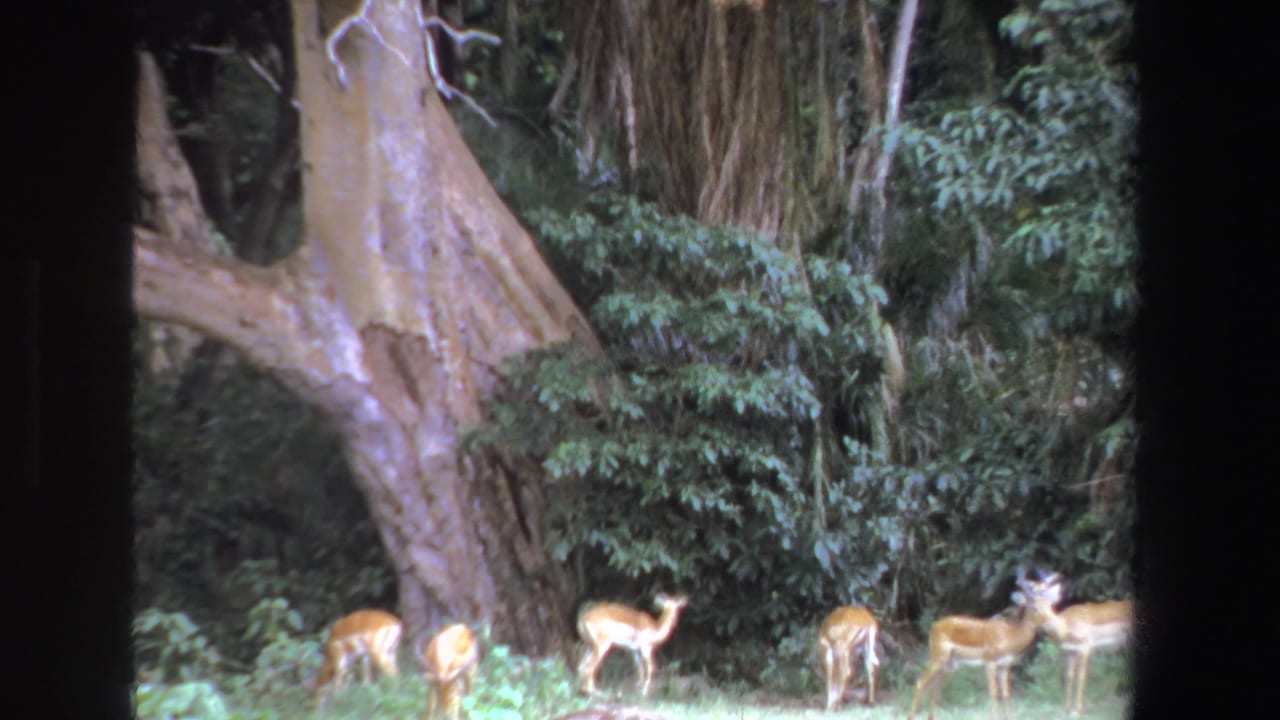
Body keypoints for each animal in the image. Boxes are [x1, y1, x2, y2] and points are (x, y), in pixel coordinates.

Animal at [907, 573, 1051, 720]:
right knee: (920, 683)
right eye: (1035, 607)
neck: (1009, 635)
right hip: (938, 659)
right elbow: (994, 694)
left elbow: (1006, 694)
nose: (1049, 621)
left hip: (950, 666)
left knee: (935, 689)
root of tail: (935, 626)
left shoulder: (1004, 666)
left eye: (1049, 605)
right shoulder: (990, 663)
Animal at [1023, 571, 1134, 716]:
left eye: (1035, 607)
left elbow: (1081, 677)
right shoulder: (1071, 651)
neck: (1065, 625)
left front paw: (1077, 710)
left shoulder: (1085, 648)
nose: (1026, 625)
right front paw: (1066, 709)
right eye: (1027, 606)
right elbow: (1070, 676)